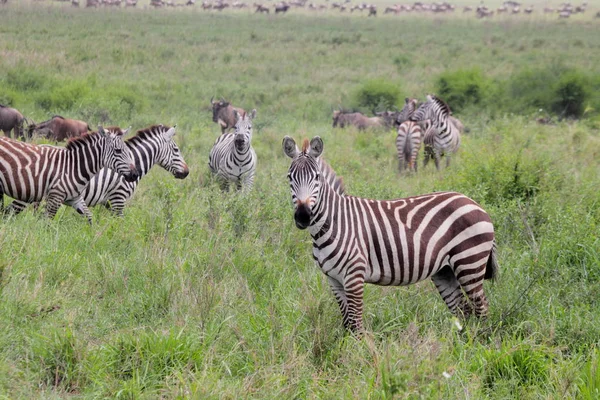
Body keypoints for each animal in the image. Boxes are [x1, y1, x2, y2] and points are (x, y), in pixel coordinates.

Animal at [0, 127, 137, 223]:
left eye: (128, 150)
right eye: (118, 151)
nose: (135, 174)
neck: (74, 166)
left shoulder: (75, 198)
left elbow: (89, 217)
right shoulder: (55, 196)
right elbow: (46, 223)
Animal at [8, 126, 188, 217]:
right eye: (176, 149)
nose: (186, 173)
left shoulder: (108, 202)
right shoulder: (118, 198)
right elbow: (118, 224)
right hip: (27, 193)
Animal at [284, 136, 500, 332]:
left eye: (317, 177)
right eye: (289, 178)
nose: (303, 216)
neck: (334, 224)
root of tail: (473, 202)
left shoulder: (354, 275)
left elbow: (356, 324)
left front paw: (359, 350)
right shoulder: (334, 280)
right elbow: (347, 323)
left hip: (469, 262)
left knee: (482, 308)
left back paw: (480, 343)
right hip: (444, 271)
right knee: (464, 311)